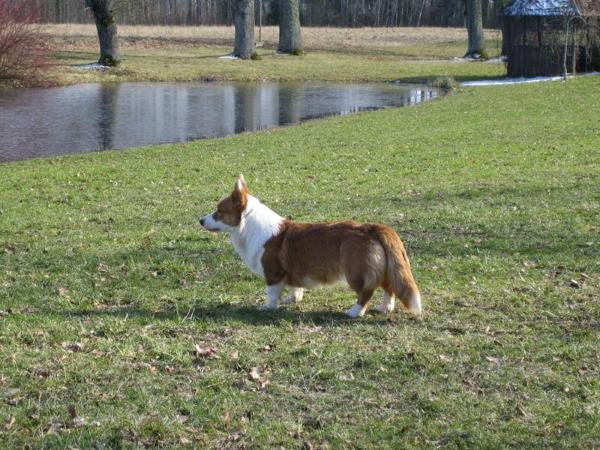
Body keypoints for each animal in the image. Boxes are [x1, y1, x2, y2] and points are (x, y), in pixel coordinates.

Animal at [200, 174, 422, 318]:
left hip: (355, 273)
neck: (249, 227)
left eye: (219, 211)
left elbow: (271, 294)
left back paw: (354, 312)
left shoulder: (273, 274)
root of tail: (372, 227)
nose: (200, 220)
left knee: (367, 292)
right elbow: (295, 288)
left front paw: (268, 307)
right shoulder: (291, 273)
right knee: (389, 287)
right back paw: (385, 308)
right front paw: (292, 300)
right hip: (385, 268)